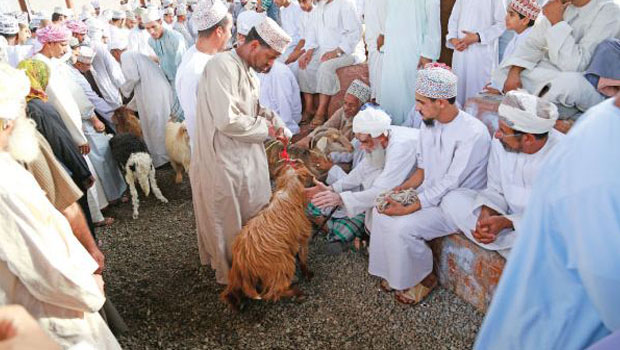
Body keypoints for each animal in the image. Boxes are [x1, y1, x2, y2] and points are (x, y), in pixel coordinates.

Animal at [222, 161, 314, 308]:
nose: (313, 176)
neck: (288, 191)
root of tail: (242, 261)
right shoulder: (302, 236)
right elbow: (303, 257)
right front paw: (307, 273)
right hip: (283, 264)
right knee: (273, 292)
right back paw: (297, 292)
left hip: (239, 276)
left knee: (232, 292)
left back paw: (237, 303)